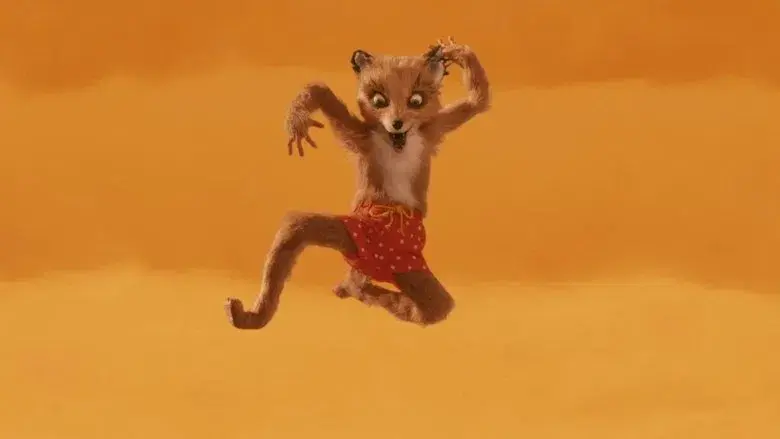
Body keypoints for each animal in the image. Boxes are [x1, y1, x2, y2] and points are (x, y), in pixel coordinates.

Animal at [225, 37, 491, 329]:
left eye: (416, 100)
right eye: (379, 100)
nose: (397, 122)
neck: (398, 143)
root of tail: (373, 266)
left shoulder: (432, 130)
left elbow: (477, 100)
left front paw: (453, 51)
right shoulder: (363, 137)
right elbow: (321, 91)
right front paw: (297, 121)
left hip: (409, 267)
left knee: (433, 306)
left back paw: (353, 288)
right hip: (356, 238)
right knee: (297, 225)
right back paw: (247, 316)